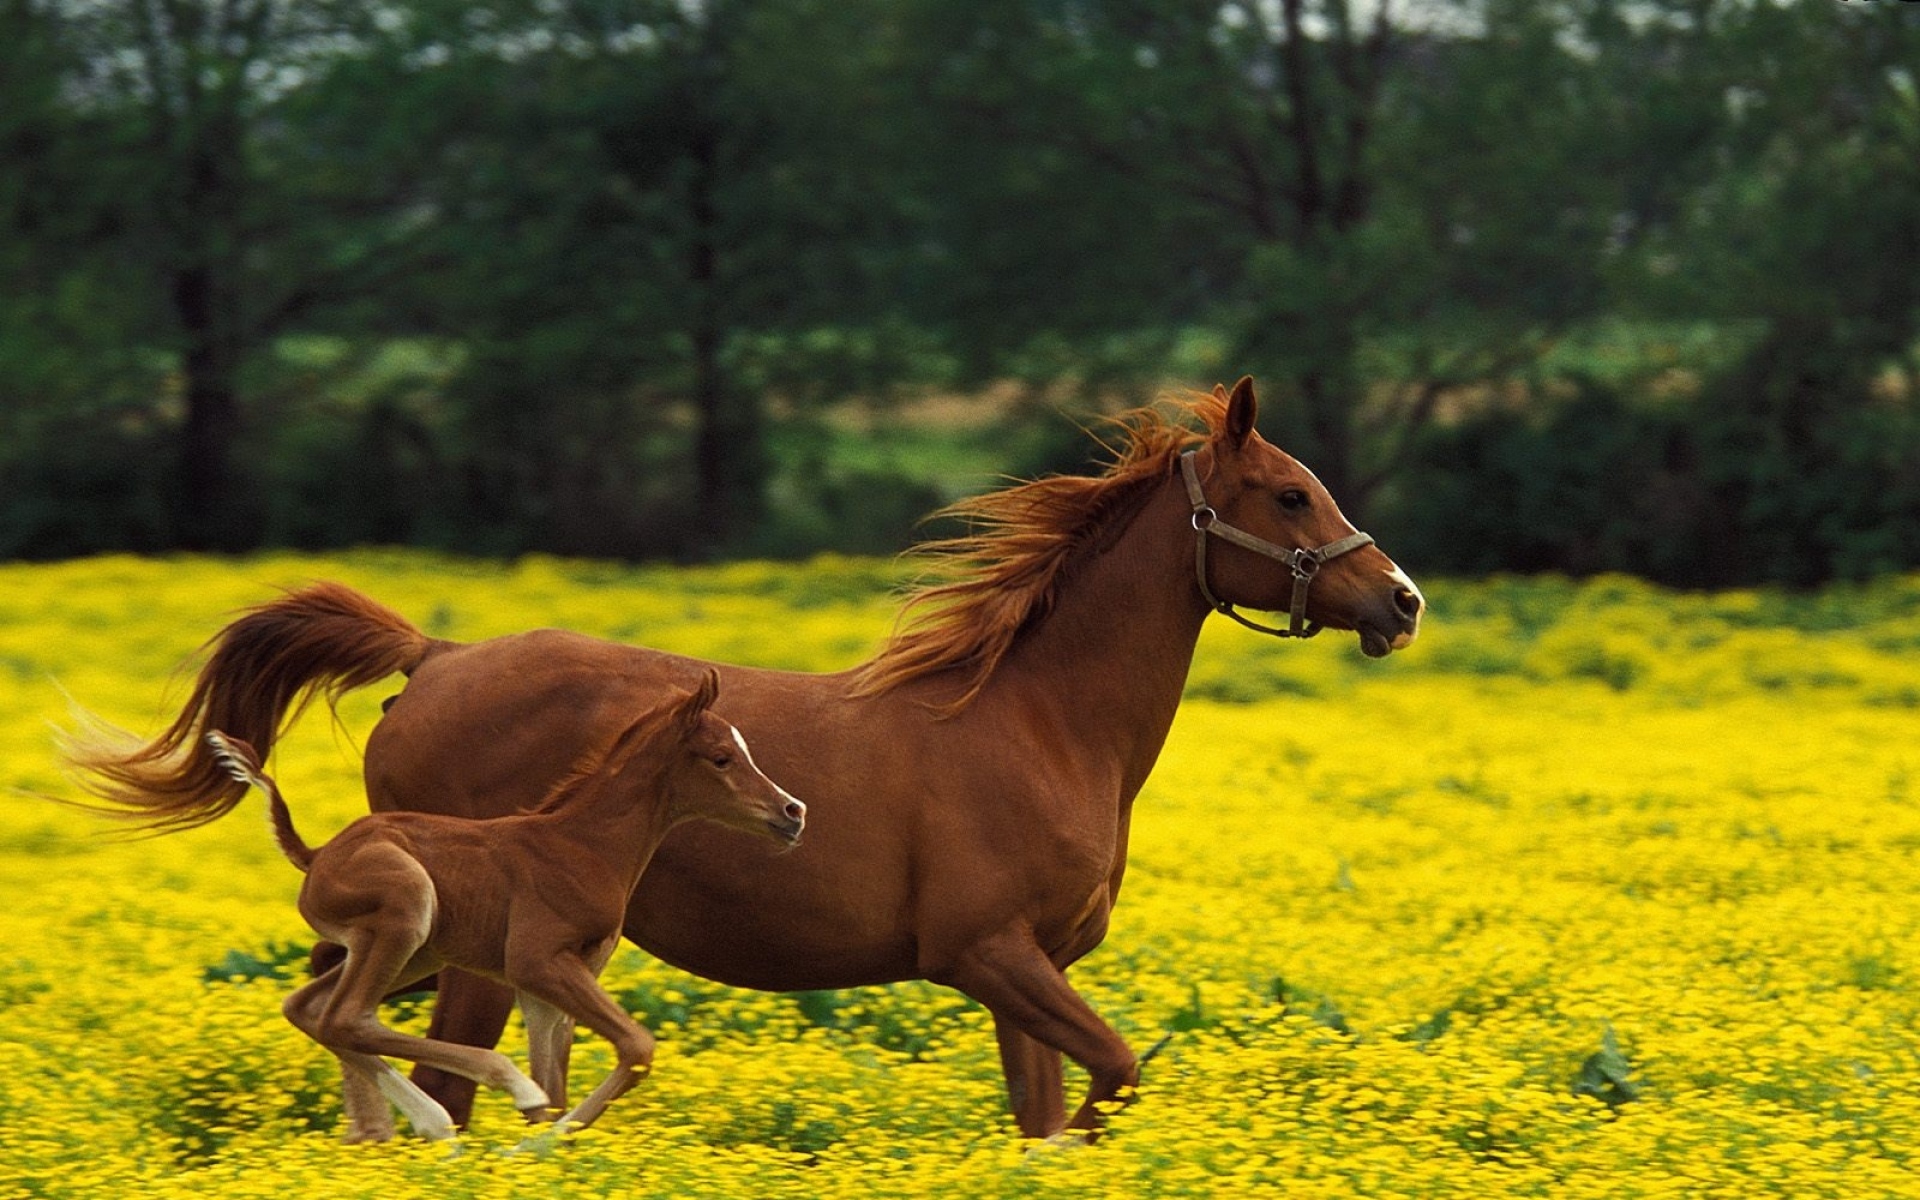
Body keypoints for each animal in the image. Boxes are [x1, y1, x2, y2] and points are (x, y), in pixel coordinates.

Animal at [199, 671, 804, 1142]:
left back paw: (434, 1125)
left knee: (312, 1009)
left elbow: (560, 1082)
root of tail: (317, 854)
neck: (583, 845)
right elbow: (634, 1046)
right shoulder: (535, 960)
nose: (792, 811)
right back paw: (492, 1093)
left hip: (417, 950)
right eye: (722, 758)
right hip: (406, 908)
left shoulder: (552, 981)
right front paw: (533, 1144)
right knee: (347, 1017)